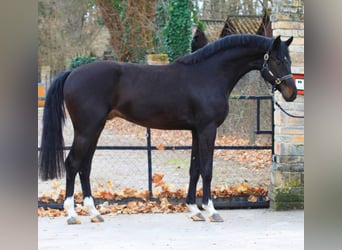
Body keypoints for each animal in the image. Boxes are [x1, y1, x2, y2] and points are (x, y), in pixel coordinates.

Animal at [39, 34, 296, 224]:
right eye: (278, 60)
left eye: (289, 59)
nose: (291, 93)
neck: (209, 75)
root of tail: (72, 73)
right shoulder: (207, 129)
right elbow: (207, 169)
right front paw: (211, 210)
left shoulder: (196, 131)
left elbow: (194, 169)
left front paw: (194, 210)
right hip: (87, 129)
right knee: (73, 164)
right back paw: (72, 214)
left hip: (95, 129)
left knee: (85, 166)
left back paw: (94, 212)